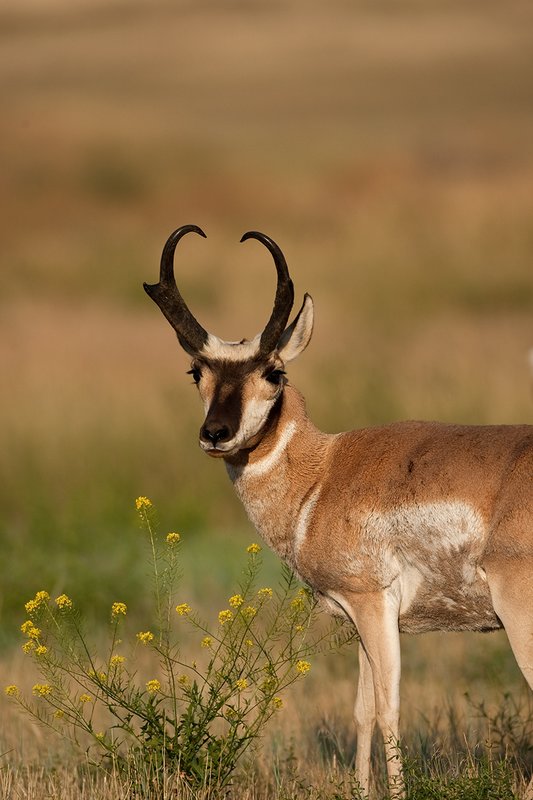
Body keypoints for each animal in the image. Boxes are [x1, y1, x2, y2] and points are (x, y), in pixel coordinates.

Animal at [144, 224, 533, 797]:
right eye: (196, 371)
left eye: (274, 372)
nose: (215, 433)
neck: (323, 474)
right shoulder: (359, 620)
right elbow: (362, 711)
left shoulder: (372, 605)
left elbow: (390, 710)